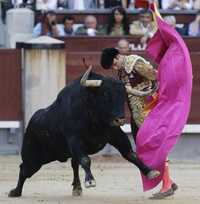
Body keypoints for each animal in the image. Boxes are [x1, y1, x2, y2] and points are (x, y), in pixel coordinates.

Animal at [8, 69, 159, 198]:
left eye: (123, 96)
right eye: (105, 95)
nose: (120, 119)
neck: (94, 117)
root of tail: (31, 122)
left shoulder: (116, 134)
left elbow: (131, 154)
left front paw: (150, 172)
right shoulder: (75, 139)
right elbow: (86, 159)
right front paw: (90, 181)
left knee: (74, 164)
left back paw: (76, 188)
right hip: (33, 157)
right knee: (24, 169)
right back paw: (15, 192)